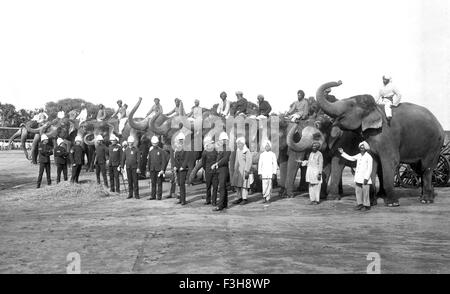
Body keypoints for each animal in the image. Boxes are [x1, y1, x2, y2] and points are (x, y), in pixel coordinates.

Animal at [314, 79, 444, 206]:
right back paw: (425, 196)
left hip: (435, 144)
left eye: (351, 105)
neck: (376, 109)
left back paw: (426, 200)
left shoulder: (387, 136)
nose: (339, 82)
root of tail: (439, 123)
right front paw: (371, 202)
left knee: (426, 168)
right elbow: (372, 162)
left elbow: (391, 161)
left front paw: (392, 203)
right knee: (418, 168)